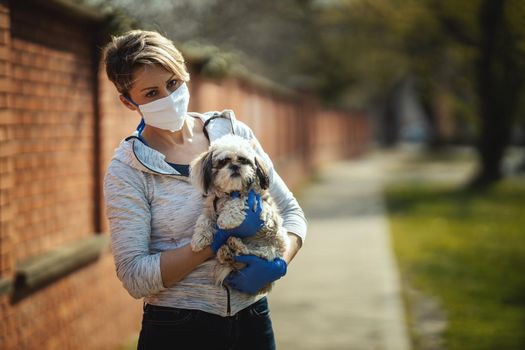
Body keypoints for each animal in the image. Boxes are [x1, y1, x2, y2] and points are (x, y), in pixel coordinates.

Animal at [189, 135, 288, 294]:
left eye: (243, 160)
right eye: (223, 161)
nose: (235, 166)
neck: (231, 191)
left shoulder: (261, 206)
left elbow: (239, 201)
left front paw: (226, 219)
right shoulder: (211, 209)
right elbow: (204, 220)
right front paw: (200, 238)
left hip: (274, 244)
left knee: (255, 254)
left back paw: (236, 245)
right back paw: (225, 251)